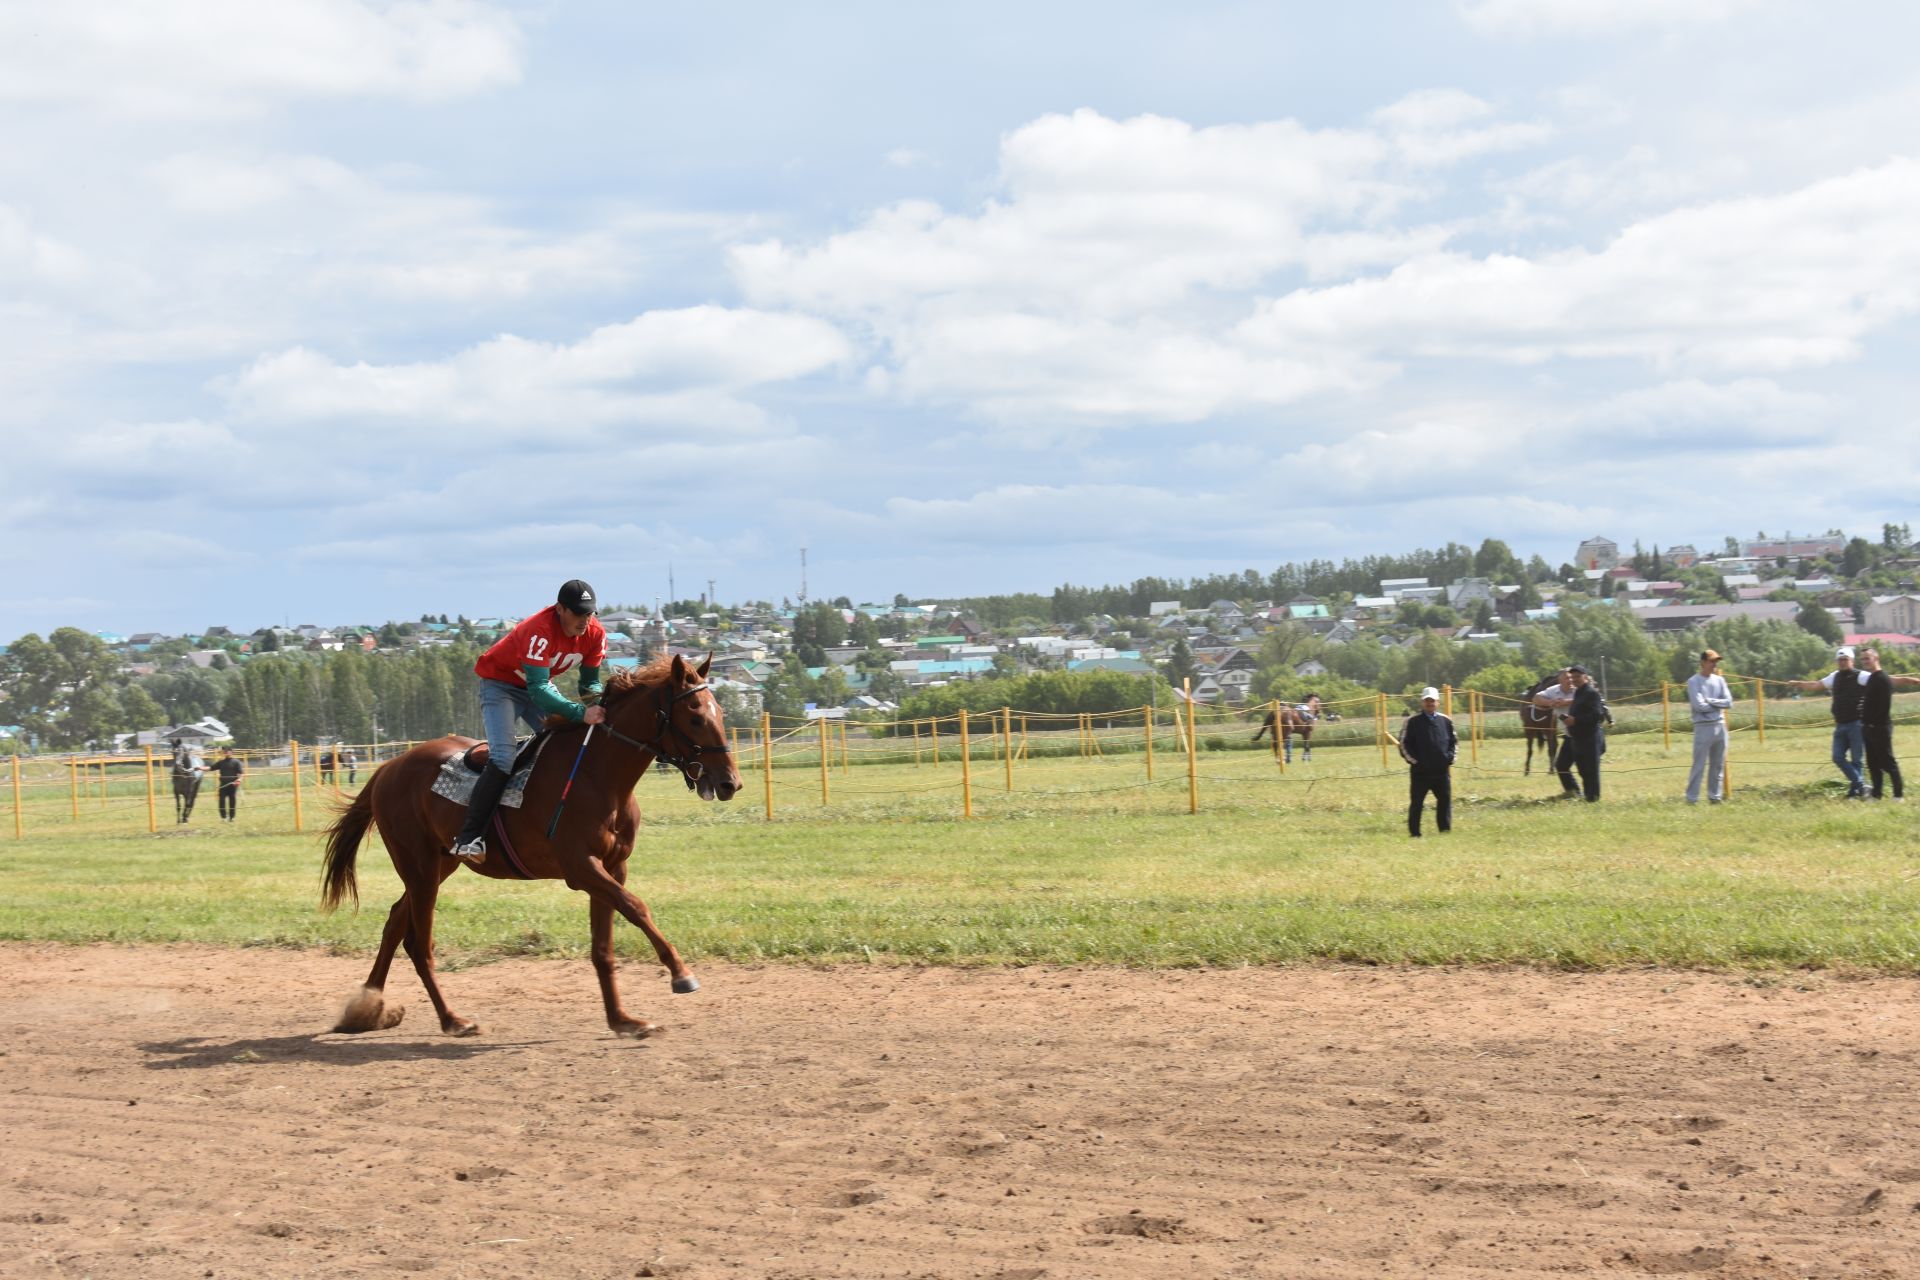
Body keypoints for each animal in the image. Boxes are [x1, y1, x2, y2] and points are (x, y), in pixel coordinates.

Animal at [318, 656, 737, 1036]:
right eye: (695, 718)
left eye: (721, 712)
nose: (730, 782)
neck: (598, 776)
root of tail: (388, 768)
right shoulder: (582, 867)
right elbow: (636, 907)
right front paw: (681, 974)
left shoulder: (611, 867)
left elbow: (603, 947)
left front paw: (622, 1019)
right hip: (418, 867)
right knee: (419, 943)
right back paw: (452, 1019)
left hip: (437, 867)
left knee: (394, 922)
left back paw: (367, 1008)